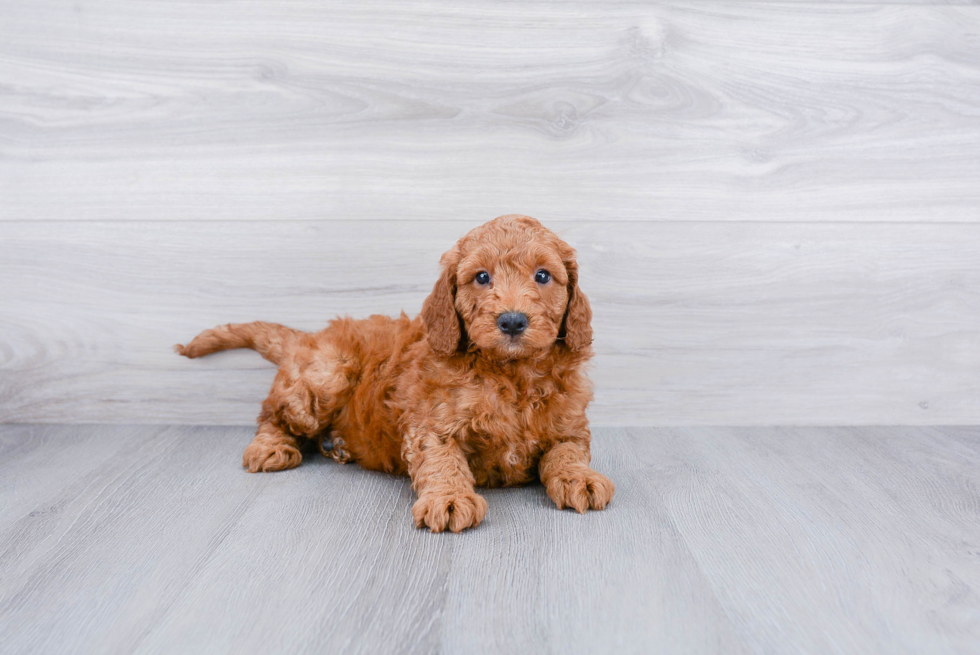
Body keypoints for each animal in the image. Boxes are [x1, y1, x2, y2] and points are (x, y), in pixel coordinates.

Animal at [176, 215, 612, 532]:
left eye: (543, 275)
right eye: (482, 277)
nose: (512, 321)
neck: (511, 373)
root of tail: (310, 336)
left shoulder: (569, 425)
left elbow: (566, 452)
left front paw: (580, 478)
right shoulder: (430, 424)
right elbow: (442, 460)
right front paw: (449, 499)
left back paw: (338, 445)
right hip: (324, 378)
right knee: (273, 413)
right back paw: (271, 447)